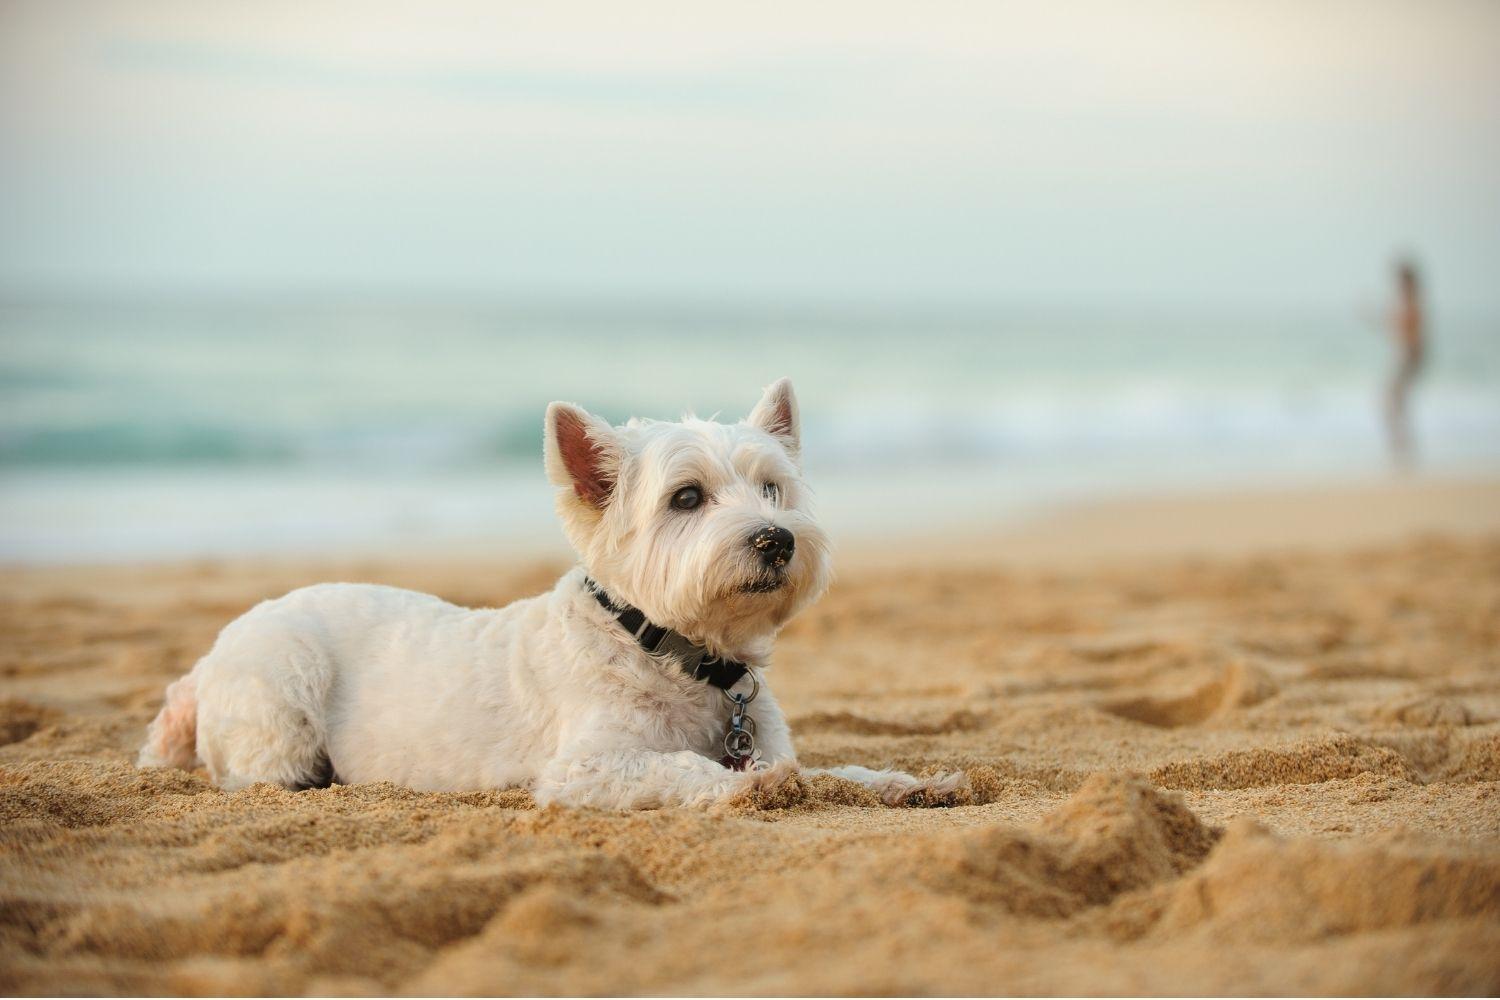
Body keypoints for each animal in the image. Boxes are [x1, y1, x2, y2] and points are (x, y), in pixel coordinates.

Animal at [138, 383, 960, 815]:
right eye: (686, 498)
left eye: (772, 489)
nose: (776, 540)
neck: (673, 653)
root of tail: (208, 659)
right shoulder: (587, 769)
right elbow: (683, 769)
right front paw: (751, 785)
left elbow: (833, 773)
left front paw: (908, 780)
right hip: (284, 693)